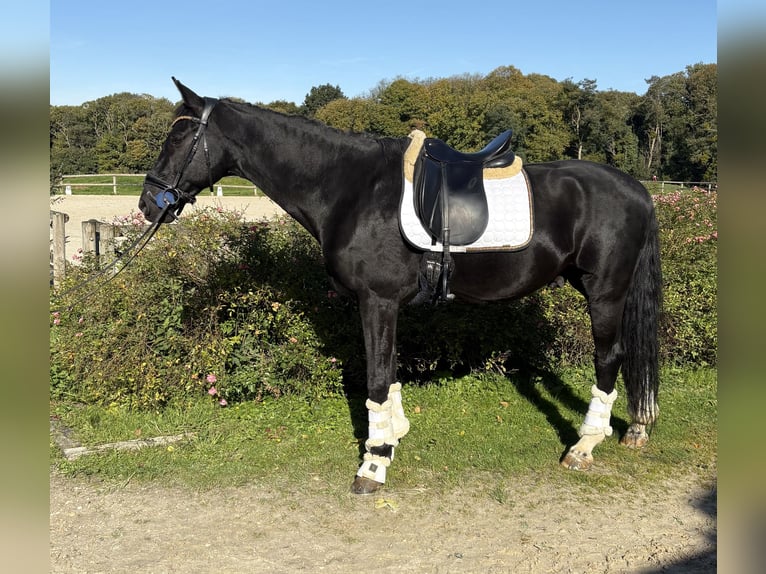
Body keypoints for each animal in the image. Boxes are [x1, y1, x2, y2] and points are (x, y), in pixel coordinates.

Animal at [140, 79, 662, 495]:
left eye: (180, 135)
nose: (148, 203)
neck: (351, 188)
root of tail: (638, 189)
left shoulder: (377, 300)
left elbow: (375, 378)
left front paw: (373, 464)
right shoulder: (384, 304)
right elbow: (387, 372)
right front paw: (391, 436)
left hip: (605, 293)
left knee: (610, 358)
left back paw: (583, 446)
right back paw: (635, 428)